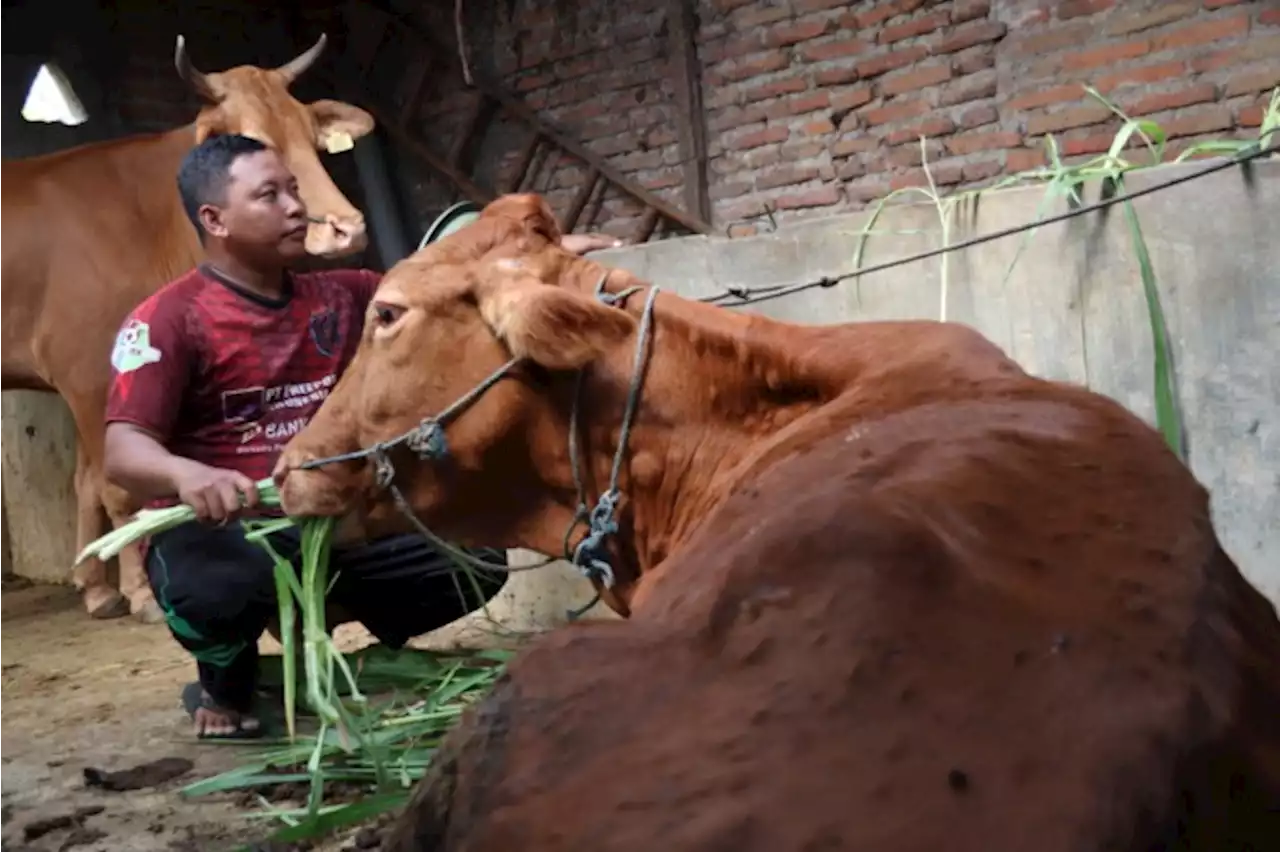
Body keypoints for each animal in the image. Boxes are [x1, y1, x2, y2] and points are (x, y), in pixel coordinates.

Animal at [0, 34, 373, 616]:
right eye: (255, 141)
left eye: (313, 137)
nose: (347, 227)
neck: (150, 218)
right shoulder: (85, 370)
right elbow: (116, 486)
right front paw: (139, 591)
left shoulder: (99, 376)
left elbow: (86, 481)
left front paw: (97, 587)